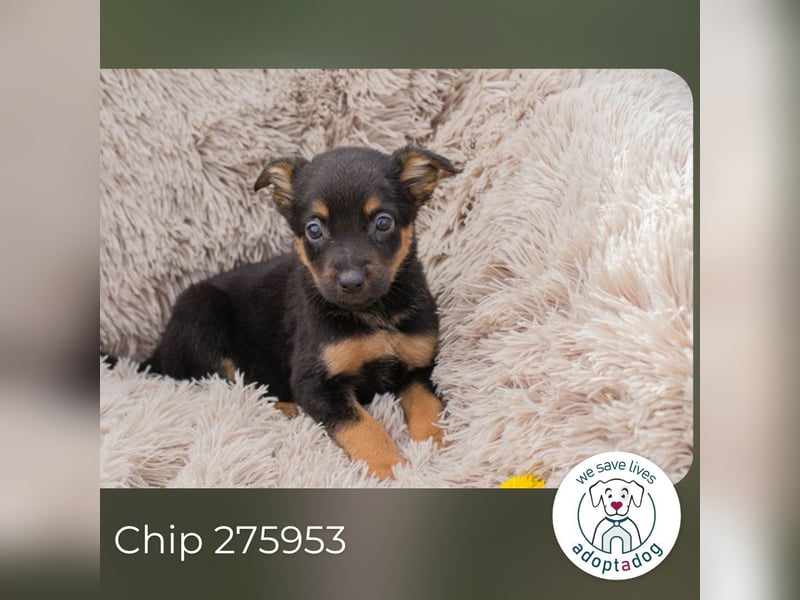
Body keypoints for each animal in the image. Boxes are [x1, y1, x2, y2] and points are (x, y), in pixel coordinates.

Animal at [109, 145, 458, 480]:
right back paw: (287, 408)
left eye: (383, 222)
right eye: (314, 229)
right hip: (200, 316)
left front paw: (437, 448)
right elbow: (363, 426)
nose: (351, 282)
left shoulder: (418, 366)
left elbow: (430, 408)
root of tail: (159, 351)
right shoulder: (313, 382)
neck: (373, 312)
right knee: (232, 387)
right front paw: (390, 467)